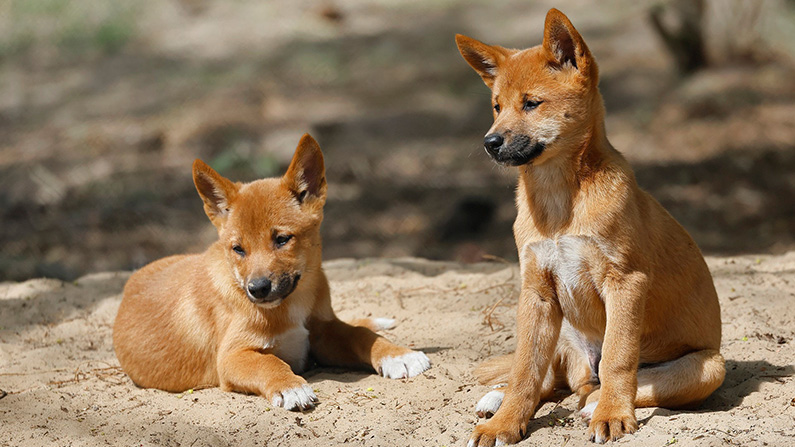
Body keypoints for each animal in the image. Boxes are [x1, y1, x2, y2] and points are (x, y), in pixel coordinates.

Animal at [113, 135, 430, 412]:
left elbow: (359, 334)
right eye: (238, 249)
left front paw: (398, 354)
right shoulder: (232, 357)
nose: (257, 289)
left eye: (282, 239)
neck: (292, 305)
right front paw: (290, 386)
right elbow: (269, 363)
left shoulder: (322, 332)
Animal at [458, 7, 724, 447]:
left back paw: (596, 403)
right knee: (552, 381)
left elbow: (619, 358)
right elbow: (525, 370)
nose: (489, 143)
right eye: (496, 106)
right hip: (562, 332)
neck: (558, 203)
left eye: (532, 104)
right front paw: (506, 423)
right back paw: (498, 400)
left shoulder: (626, 282)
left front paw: (613, 414)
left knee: (611, 384)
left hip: (709, 366)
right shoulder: (537, 291)